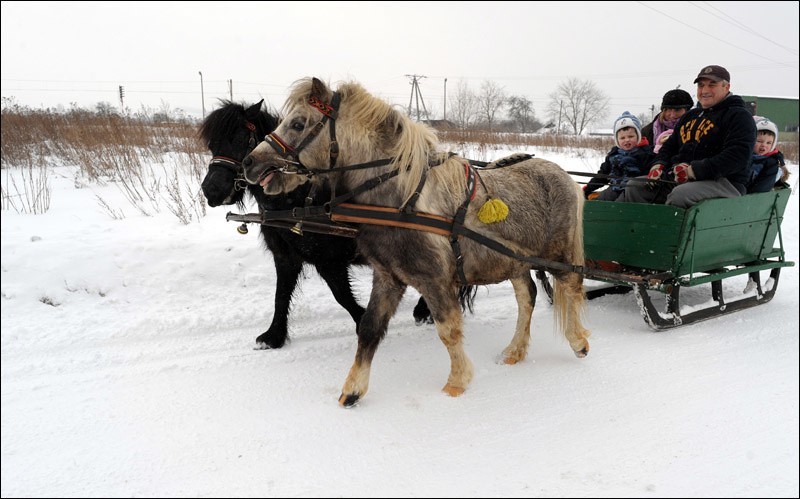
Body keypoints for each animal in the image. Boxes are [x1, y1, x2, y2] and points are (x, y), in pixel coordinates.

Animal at [199, 100, 438, 350]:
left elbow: (342, 295)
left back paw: (424, 310)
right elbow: (281, 294)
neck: (298, 200)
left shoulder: (329, 261)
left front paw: (363, 321)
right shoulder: (285, 257)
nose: (210, 190)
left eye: (240, 139)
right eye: (212, 144)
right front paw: (273, 336)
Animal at [242, 77, 588, 406]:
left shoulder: (433, 280)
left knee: (571, 287)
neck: (400, 201)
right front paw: (353, 390)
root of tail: (564, 175)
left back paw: (578, 341)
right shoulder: (388, 276)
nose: (249, 162)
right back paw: (515, 351)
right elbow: (369, 328)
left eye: (298, 123)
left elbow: (448, 330)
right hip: (512, 261)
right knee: (527, 296)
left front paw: (456, 382)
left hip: (559, 255)